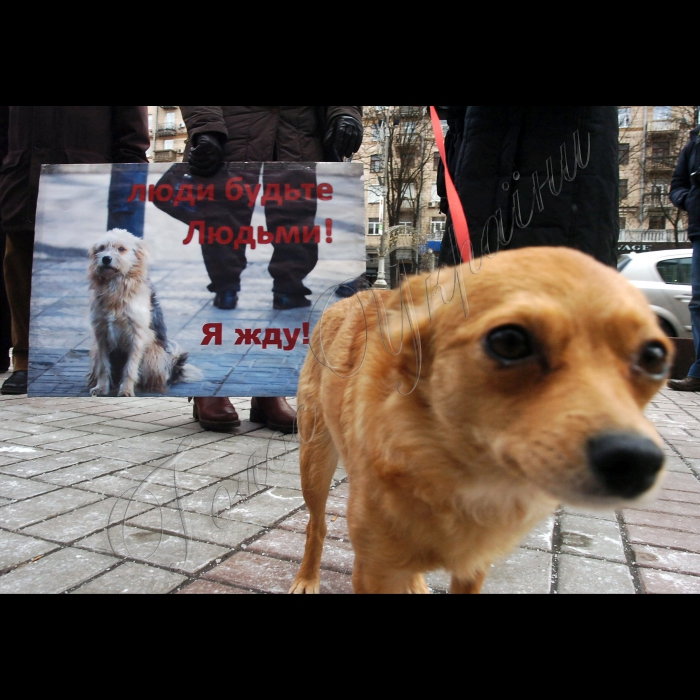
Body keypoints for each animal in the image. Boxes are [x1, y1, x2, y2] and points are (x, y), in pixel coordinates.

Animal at [290, 249, 672, 592]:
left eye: (655, 357)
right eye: (509, 341)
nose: (637, 460)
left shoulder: (474, 567)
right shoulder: (376, 569)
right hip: (315, 464)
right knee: (316, 525)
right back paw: (307, 578)